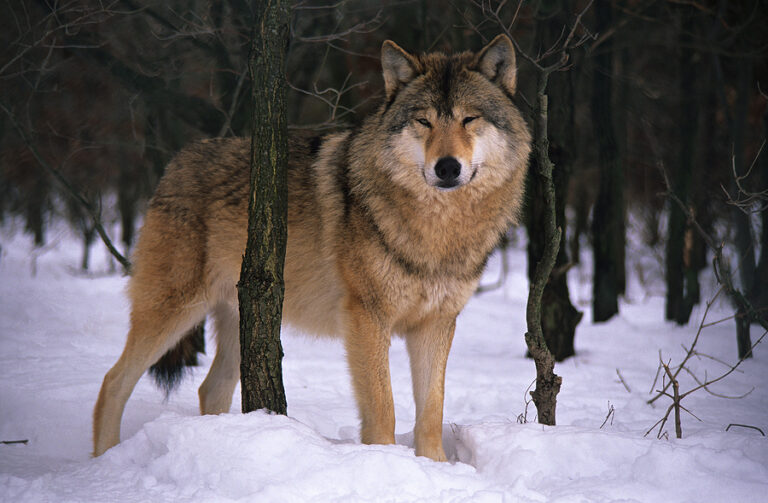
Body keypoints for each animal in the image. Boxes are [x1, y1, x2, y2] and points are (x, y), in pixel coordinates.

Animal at [93, 34, 531, 461]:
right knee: (112, 381)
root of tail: (178, 159)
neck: (439, 231)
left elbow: (431, 411)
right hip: (175, 311)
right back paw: (104, 459)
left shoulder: (436, 324)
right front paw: (386, 463)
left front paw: (435, 467)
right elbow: (383, 408)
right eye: (424, 121)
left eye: (469, 119)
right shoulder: (367, 317)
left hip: (245, 315)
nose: (447, 167)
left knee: (209, 389)